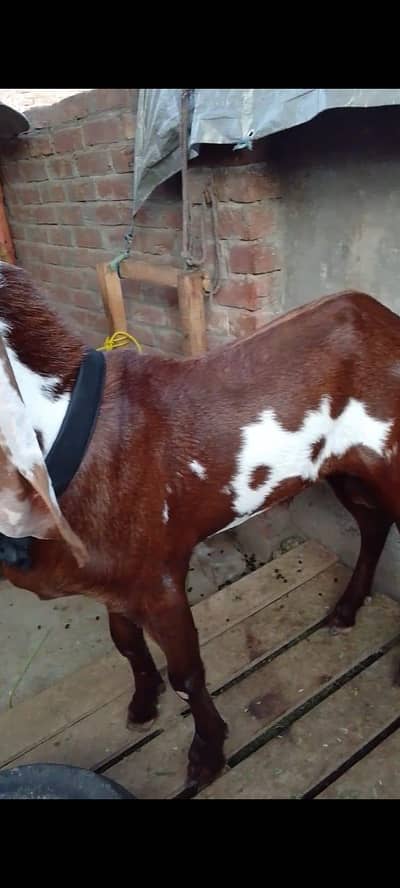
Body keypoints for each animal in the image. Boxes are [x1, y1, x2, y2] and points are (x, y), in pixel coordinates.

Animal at [0, 260, 399, 791]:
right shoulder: (114, 579)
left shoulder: (160, 578)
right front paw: (142, 707)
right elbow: (127, 644)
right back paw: (346, 610)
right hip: (347, 469)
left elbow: (187, 673)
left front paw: (207, 755)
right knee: (373, 525)